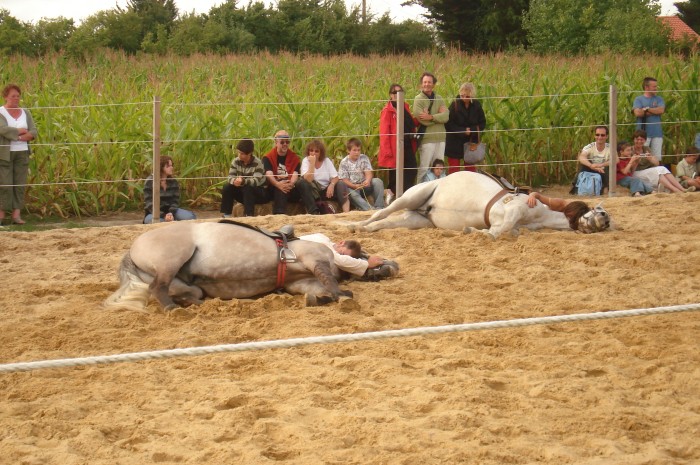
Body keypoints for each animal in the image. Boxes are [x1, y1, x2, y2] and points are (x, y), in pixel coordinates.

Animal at [348, 170, 608, 237]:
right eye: (600, 209)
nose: (606, 220)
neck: (539, 214)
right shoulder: (511, 210)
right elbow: (498, 232)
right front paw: (473, 231)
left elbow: (504, 231)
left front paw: (472, 230)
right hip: (411, 196)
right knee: (382, 213)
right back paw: (354, 225)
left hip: (416, 219)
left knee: (385, 223)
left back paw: (363, 229)